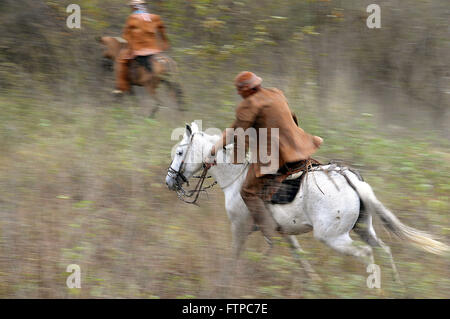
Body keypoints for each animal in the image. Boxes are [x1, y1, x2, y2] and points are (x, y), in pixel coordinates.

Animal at [165, 122, 446, 284]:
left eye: (179, 152)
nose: (169, 181)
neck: (235, 176)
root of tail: (350, 178)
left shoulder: (240, 227)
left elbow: (234, 255)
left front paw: (226, 282)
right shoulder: (283, 232)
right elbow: (298, 255)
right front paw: (312, 279)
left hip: (333, 236)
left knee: (367, 254)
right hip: (363, 228)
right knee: (385, 251)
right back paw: (397, 286)